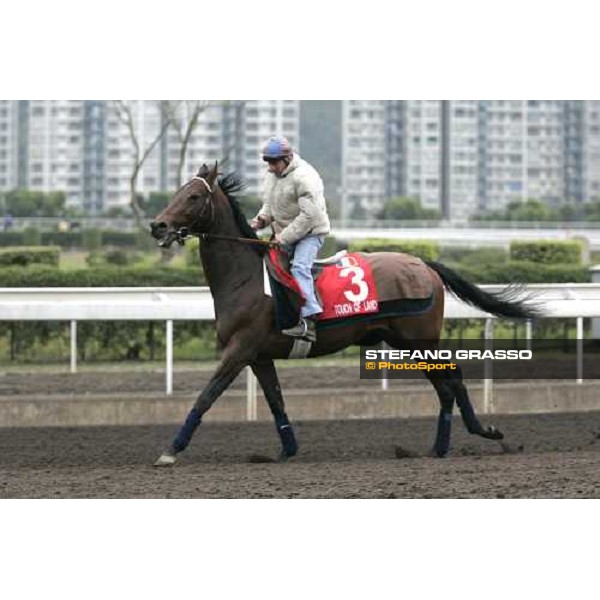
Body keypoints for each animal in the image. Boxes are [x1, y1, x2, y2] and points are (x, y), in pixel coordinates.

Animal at [149, 164, 540, 468]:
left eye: (193, 197)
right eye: (177, 191)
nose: (158, 226)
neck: (244, 278)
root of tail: (424, 264)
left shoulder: (239, 349)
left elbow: (206, 396)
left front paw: (170, 451)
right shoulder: (258, 356)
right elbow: (276, 401)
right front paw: (287, 450)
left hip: (419, 339)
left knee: (452, 379)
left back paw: (477, 434)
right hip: (405, 341)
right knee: (446, 385)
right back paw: (442, 447)